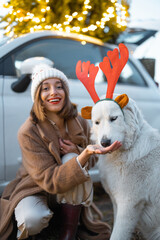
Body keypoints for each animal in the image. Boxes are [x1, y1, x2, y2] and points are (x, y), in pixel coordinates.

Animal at [90, 96, 160, 240]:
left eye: (113, 118)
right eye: (97, 122)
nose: (104, 143)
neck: (131, 146)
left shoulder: (128, 205)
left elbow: (118, 234)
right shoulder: (116, 202)